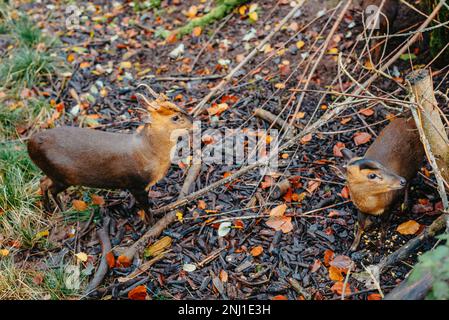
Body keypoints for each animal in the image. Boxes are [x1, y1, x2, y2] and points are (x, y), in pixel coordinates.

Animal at [27, 91, 192, 224]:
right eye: (175, 117)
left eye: (177, 106)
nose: (192, 120)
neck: (148, 153)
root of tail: (30, 143)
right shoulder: (136, 184)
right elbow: (146, 207)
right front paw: (151, 224)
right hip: (63, 175)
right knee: (51, 188)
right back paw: (63, 211)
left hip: (53, 173)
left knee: (42, 182)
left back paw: (48, 210)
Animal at [342, 117, 422, 250]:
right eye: (372, 175)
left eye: (381, 165)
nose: (401, 180)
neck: (372, 206)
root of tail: (409, 120)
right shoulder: (360, 208)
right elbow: (361, 224)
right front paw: (354, 245)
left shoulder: (389, 205)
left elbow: (384, 225)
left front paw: (380, 244)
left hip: (416, 162)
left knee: (410, 181)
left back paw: (405, 204)